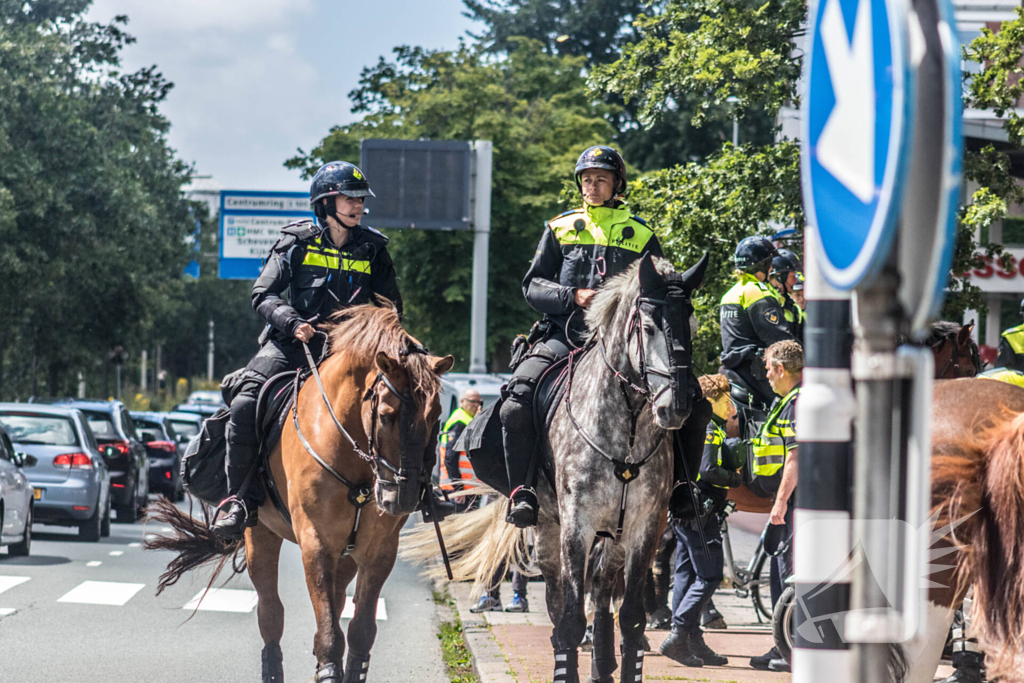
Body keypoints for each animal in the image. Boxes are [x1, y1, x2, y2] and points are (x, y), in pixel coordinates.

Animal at [144, 307, 452, 683]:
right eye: (385, 416)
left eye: (436, 417)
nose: (403, 498)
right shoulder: (315, 542)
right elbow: (329, 632)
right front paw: (328, 668)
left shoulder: (378, 550)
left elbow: (360, 630)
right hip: (260, 536)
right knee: (271, 613)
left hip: (345, 556)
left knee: (334, 602)